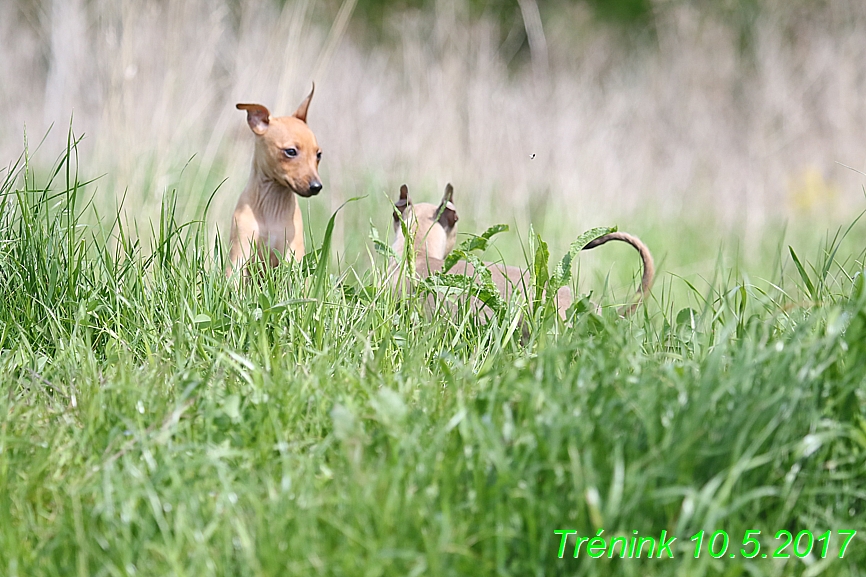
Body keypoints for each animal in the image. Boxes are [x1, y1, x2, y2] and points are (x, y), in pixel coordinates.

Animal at [228, 83, 322, 276]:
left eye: (318, 155)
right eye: (291, 151)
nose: (317, 186)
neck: (271, 210)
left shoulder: (292, 255)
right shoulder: (239, 253)